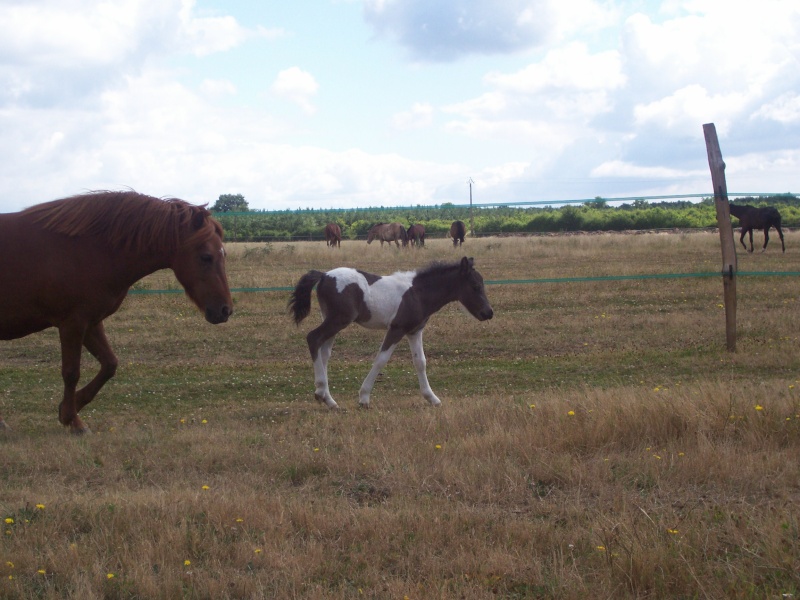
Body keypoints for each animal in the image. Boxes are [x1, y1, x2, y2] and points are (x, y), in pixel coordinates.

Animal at [0, 191, 233, 432]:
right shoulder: (72, 324)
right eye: (206, 257)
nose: (225, 310)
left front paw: (68, 409)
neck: (86, 249)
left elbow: (109, 365)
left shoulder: (91, 322)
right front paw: (74, 421)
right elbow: (71, 373)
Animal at [290, 258, 494, 408]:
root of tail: (324, 275)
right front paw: (364, 398)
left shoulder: (414, 331)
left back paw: (329, 400)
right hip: (338, 320)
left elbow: (420, 362)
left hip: (332, 320)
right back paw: (321, 393)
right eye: (475, 286)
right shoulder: (397, 329)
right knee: (313, 338)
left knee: (324, 353)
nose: (488, 313)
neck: (418, 293)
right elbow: (381, 359)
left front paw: (432, 398)